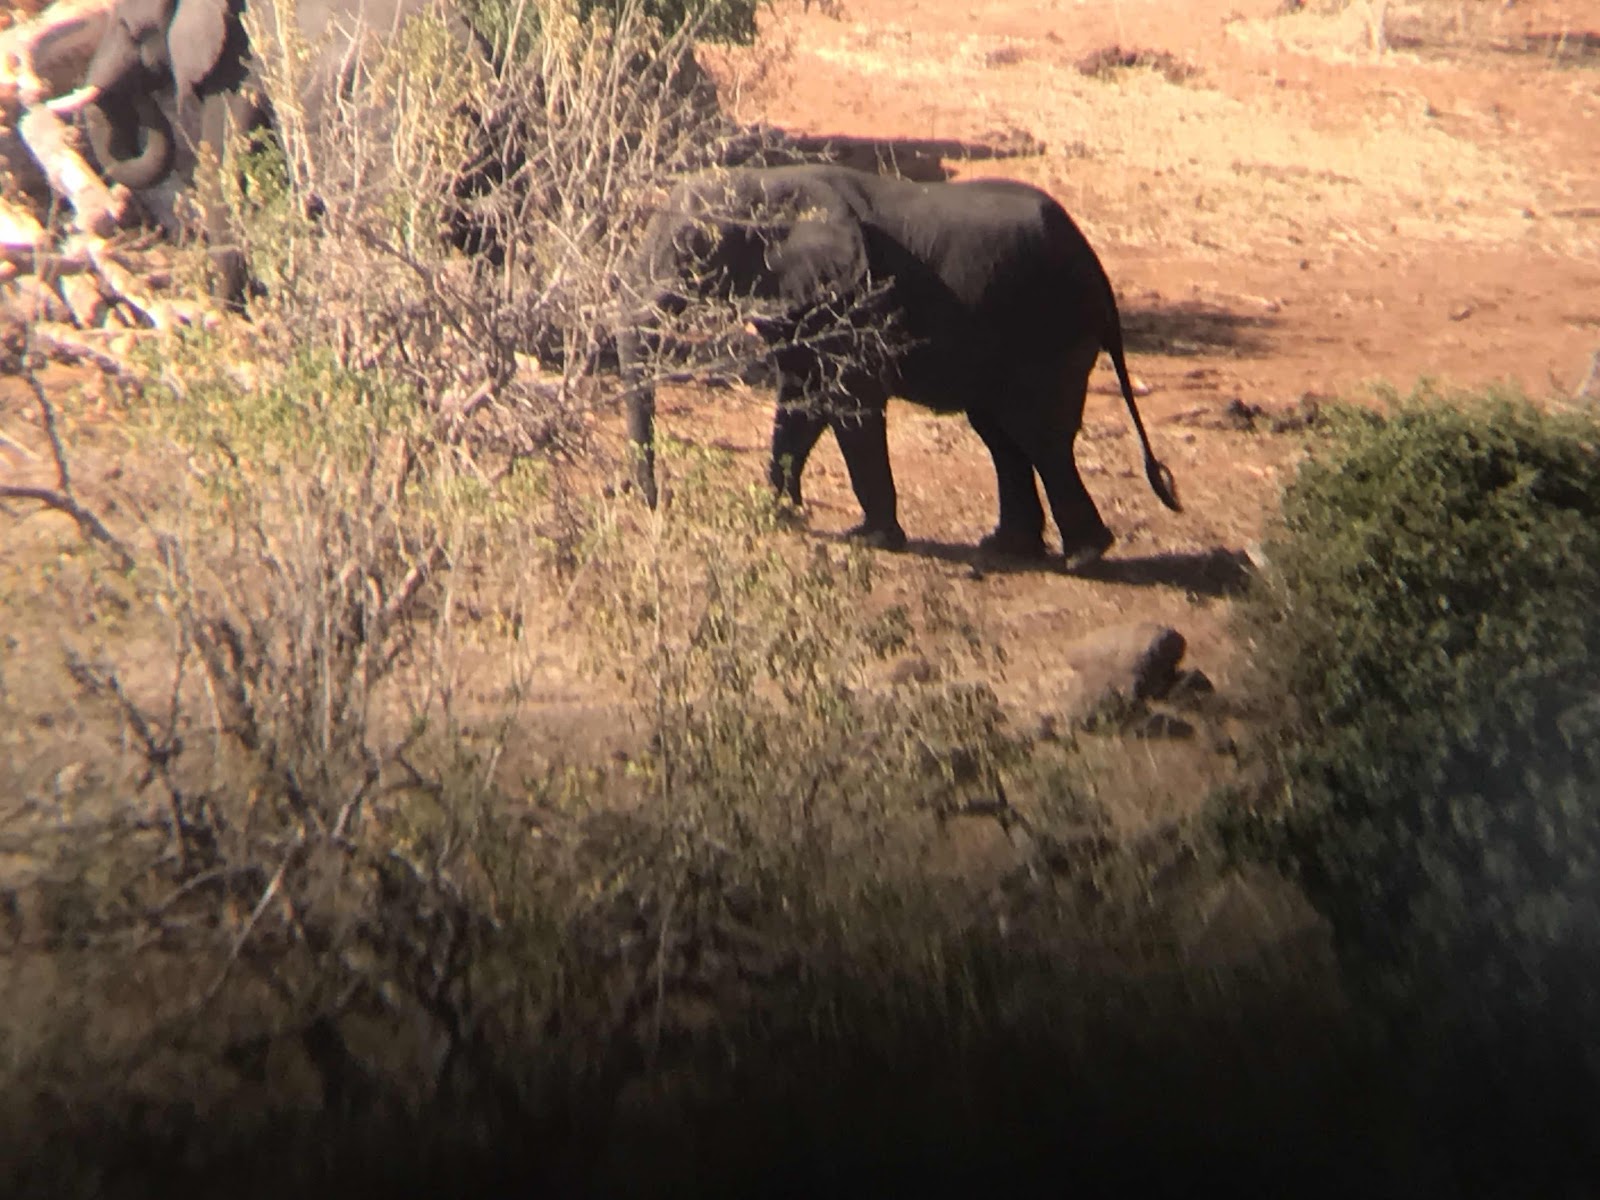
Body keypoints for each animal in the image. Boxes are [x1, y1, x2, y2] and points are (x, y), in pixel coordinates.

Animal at [619, 164, 1181, 570]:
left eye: (695, 252)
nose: (654, 503)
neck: (763, 181)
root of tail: (1100, 274)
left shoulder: (853, 296)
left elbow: (849, 397)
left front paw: (868, 539)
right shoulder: (796, 298)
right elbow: (802, 395)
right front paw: (776, 515)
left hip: (1049, 324)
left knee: (1036, 433)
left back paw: (1082, 557)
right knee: (1000, 434)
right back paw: (1005, 549)